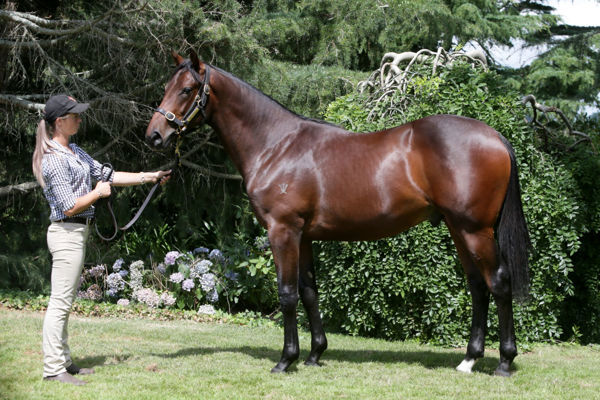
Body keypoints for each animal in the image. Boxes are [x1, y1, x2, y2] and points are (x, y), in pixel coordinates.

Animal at [145, 50, 528, 378]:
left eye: (187, 89)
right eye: (166, 88)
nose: (154, 136)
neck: (276, 145)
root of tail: (495, 136)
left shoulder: (282, 231)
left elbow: (287, 293)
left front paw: (286, 360)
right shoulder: (304, 236)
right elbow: (309, 291)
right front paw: (315, 353)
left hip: (475, 230)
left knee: (498, 283)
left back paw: (504, 361)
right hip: (458, 228)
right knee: (477, 286)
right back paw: (469, 359)